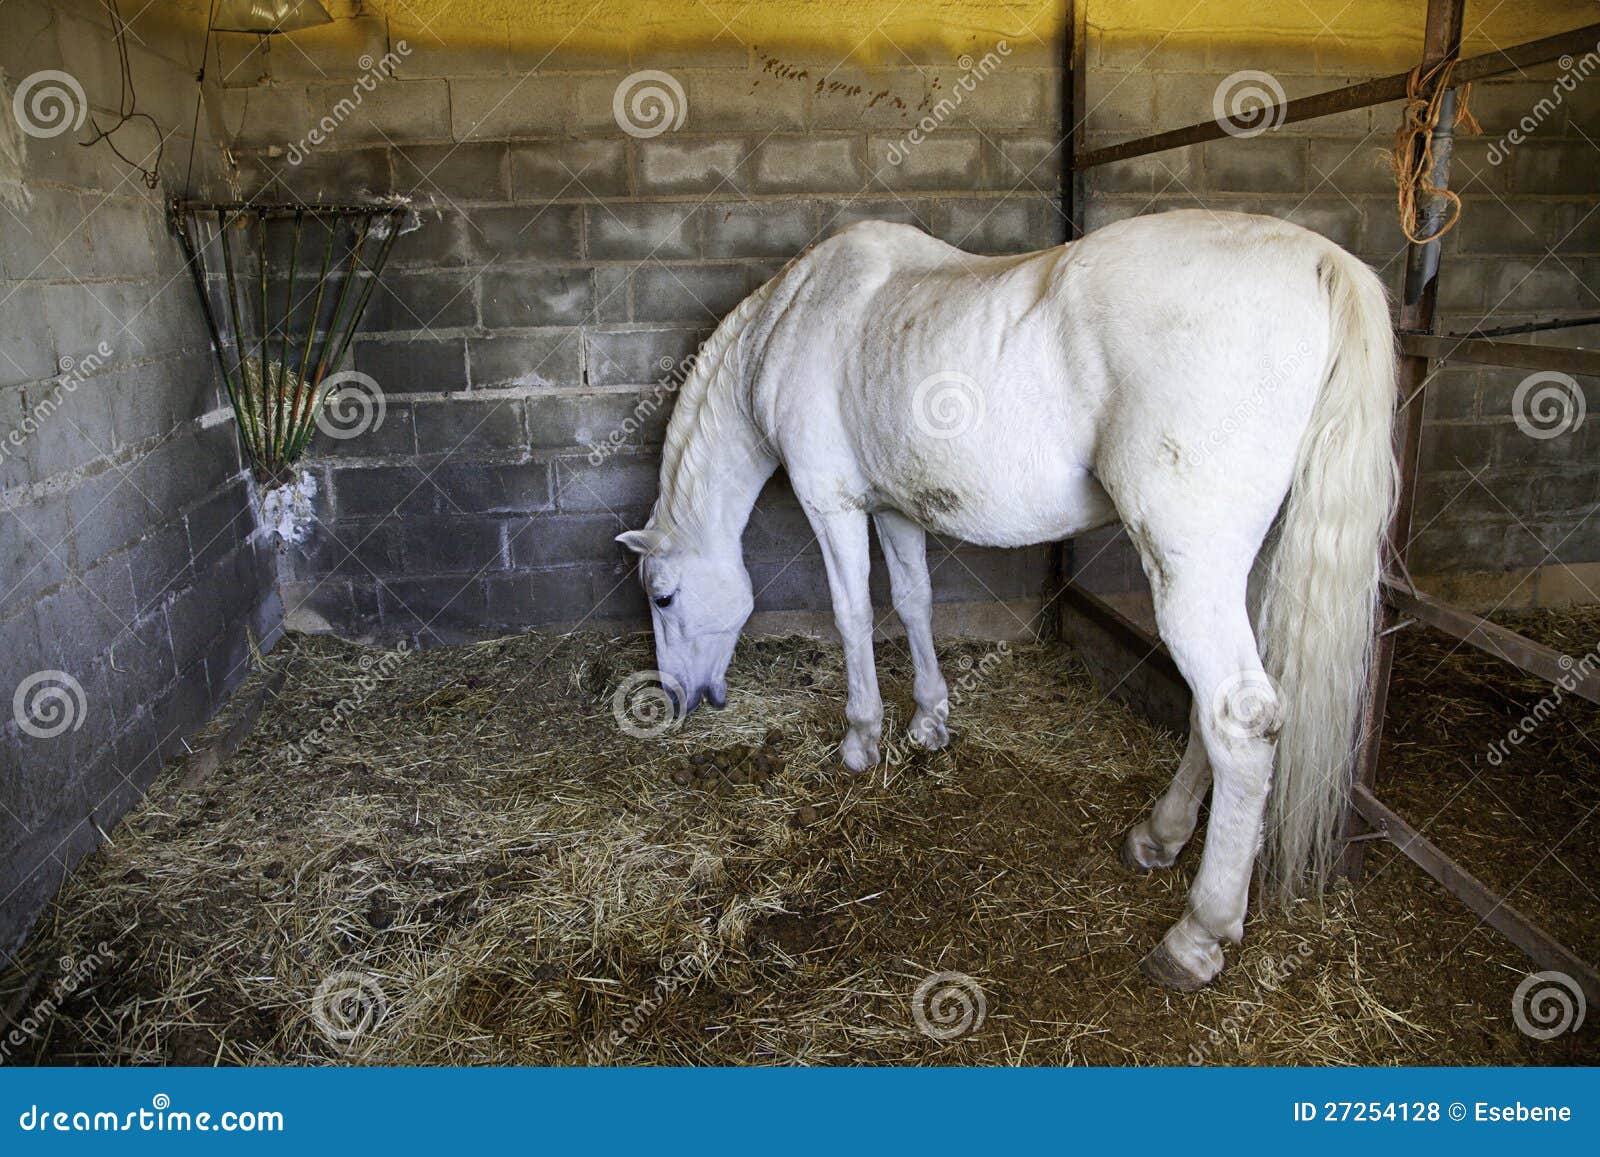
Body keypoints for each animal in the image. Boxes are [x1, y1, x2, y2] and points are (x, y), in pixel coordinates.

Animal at [616, 209, 1397, 989]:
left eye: (663, 597)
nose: (680, 698)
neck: (797, 314)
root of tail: (1320, 261)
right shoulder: (894, 505)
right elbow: (914, 599)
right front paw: (928, 721)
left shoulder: (830, 502)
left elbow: (853, 614)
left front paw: (861, 740)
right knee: (1221, 713)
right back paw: (1159, 835)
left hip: (1191, 568)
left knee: (1240, 721)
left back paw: (1196, 935)